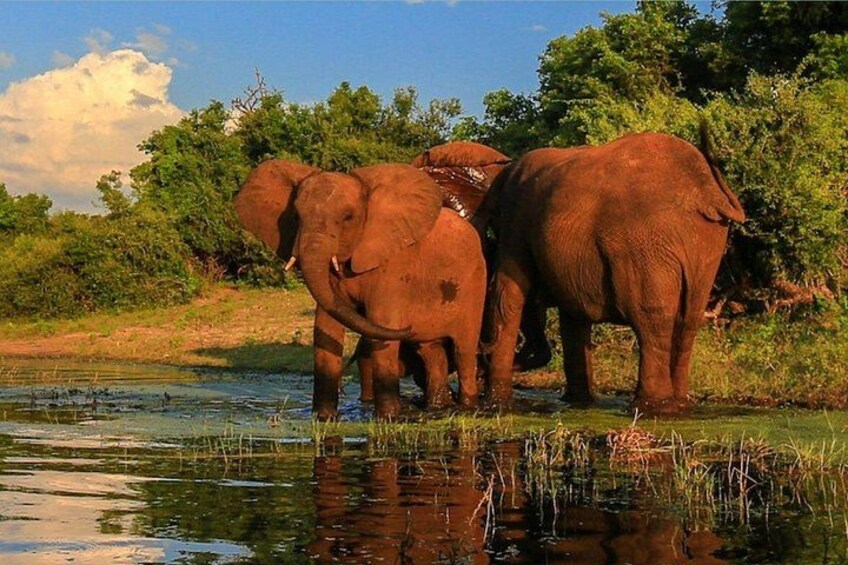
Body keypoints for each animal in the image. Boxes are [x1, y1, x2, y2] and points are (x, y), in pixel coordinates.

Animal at [234, 160, 486, 420]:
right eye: (296, 216)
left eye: (348, 217)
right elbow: (326, 326)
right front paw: (323, 419)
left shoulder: (393, 265)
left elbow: (382, 322)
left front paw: (388, 418)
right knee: (431, 351)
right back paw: (438, 407)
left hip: (475, 283)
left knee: (464, 350)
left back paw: (466, 406)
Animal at [482, 123, 745, 414]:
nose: (482, 354)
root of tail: (705, 190)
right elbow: (572, 317)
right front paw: (578, 403)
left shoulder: (515, 220)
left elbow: (508, 294)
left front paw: (496, 404)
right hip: (704, 243)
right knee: (688, 319)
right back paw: (677, 404)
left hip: (645, 242)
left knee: (651, 319)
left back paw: (650, 406)